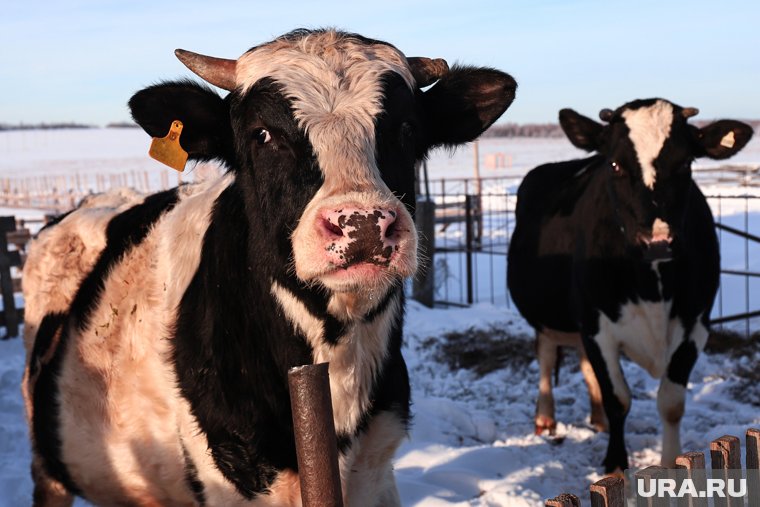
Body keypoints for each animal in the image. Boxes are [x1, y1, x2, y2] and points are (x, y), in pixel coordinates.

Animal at [508, 98, 752, 472]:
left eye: (685, 163)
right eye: (615, 164)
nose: (658, 242)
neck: (652, 285)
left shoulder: (696, 323)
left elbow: (671, 402)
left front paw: (670, 466)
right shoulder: (597, 325)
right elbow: (618, 398)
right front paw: (616, 464)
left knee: (583, 364)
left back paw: (597, 420)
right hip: (551, 316)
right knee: (547, 356)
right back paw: (545, 419)